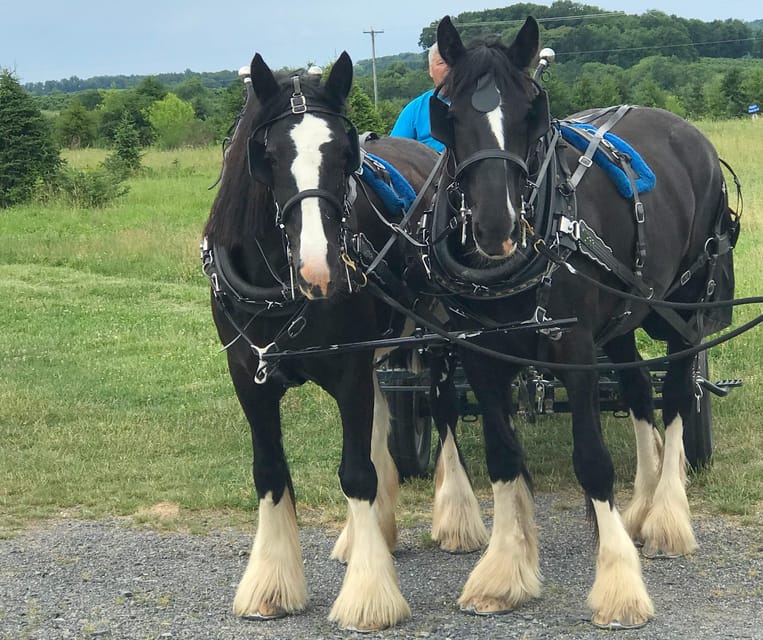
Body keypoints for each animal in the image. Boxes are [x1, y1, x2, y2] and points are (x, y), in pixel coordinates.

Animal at [204, 51, 436, 632]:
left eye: (344, 154)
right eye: (266, 155)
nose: (319, 269)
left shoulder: (349, 367)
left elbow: (356, 473)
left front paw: (369, 597)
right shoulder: (248, 374)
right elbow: (269, 470)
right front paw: (270, 583)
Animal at [414, 16, 736, 632]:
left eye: (529, 112)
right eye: (450, 115)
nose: (497, 227)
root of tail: (690, 135)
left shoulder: (575, 349)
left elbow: (591, 460)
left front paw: (618, 586)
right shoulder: (481, 353)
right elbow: (502, 457)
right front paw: (504, 573)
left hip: (682, 311)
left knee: (677, 393)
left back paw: (666, 517)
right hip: (627, 314)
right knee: (637, 388)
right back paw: (641, 505)